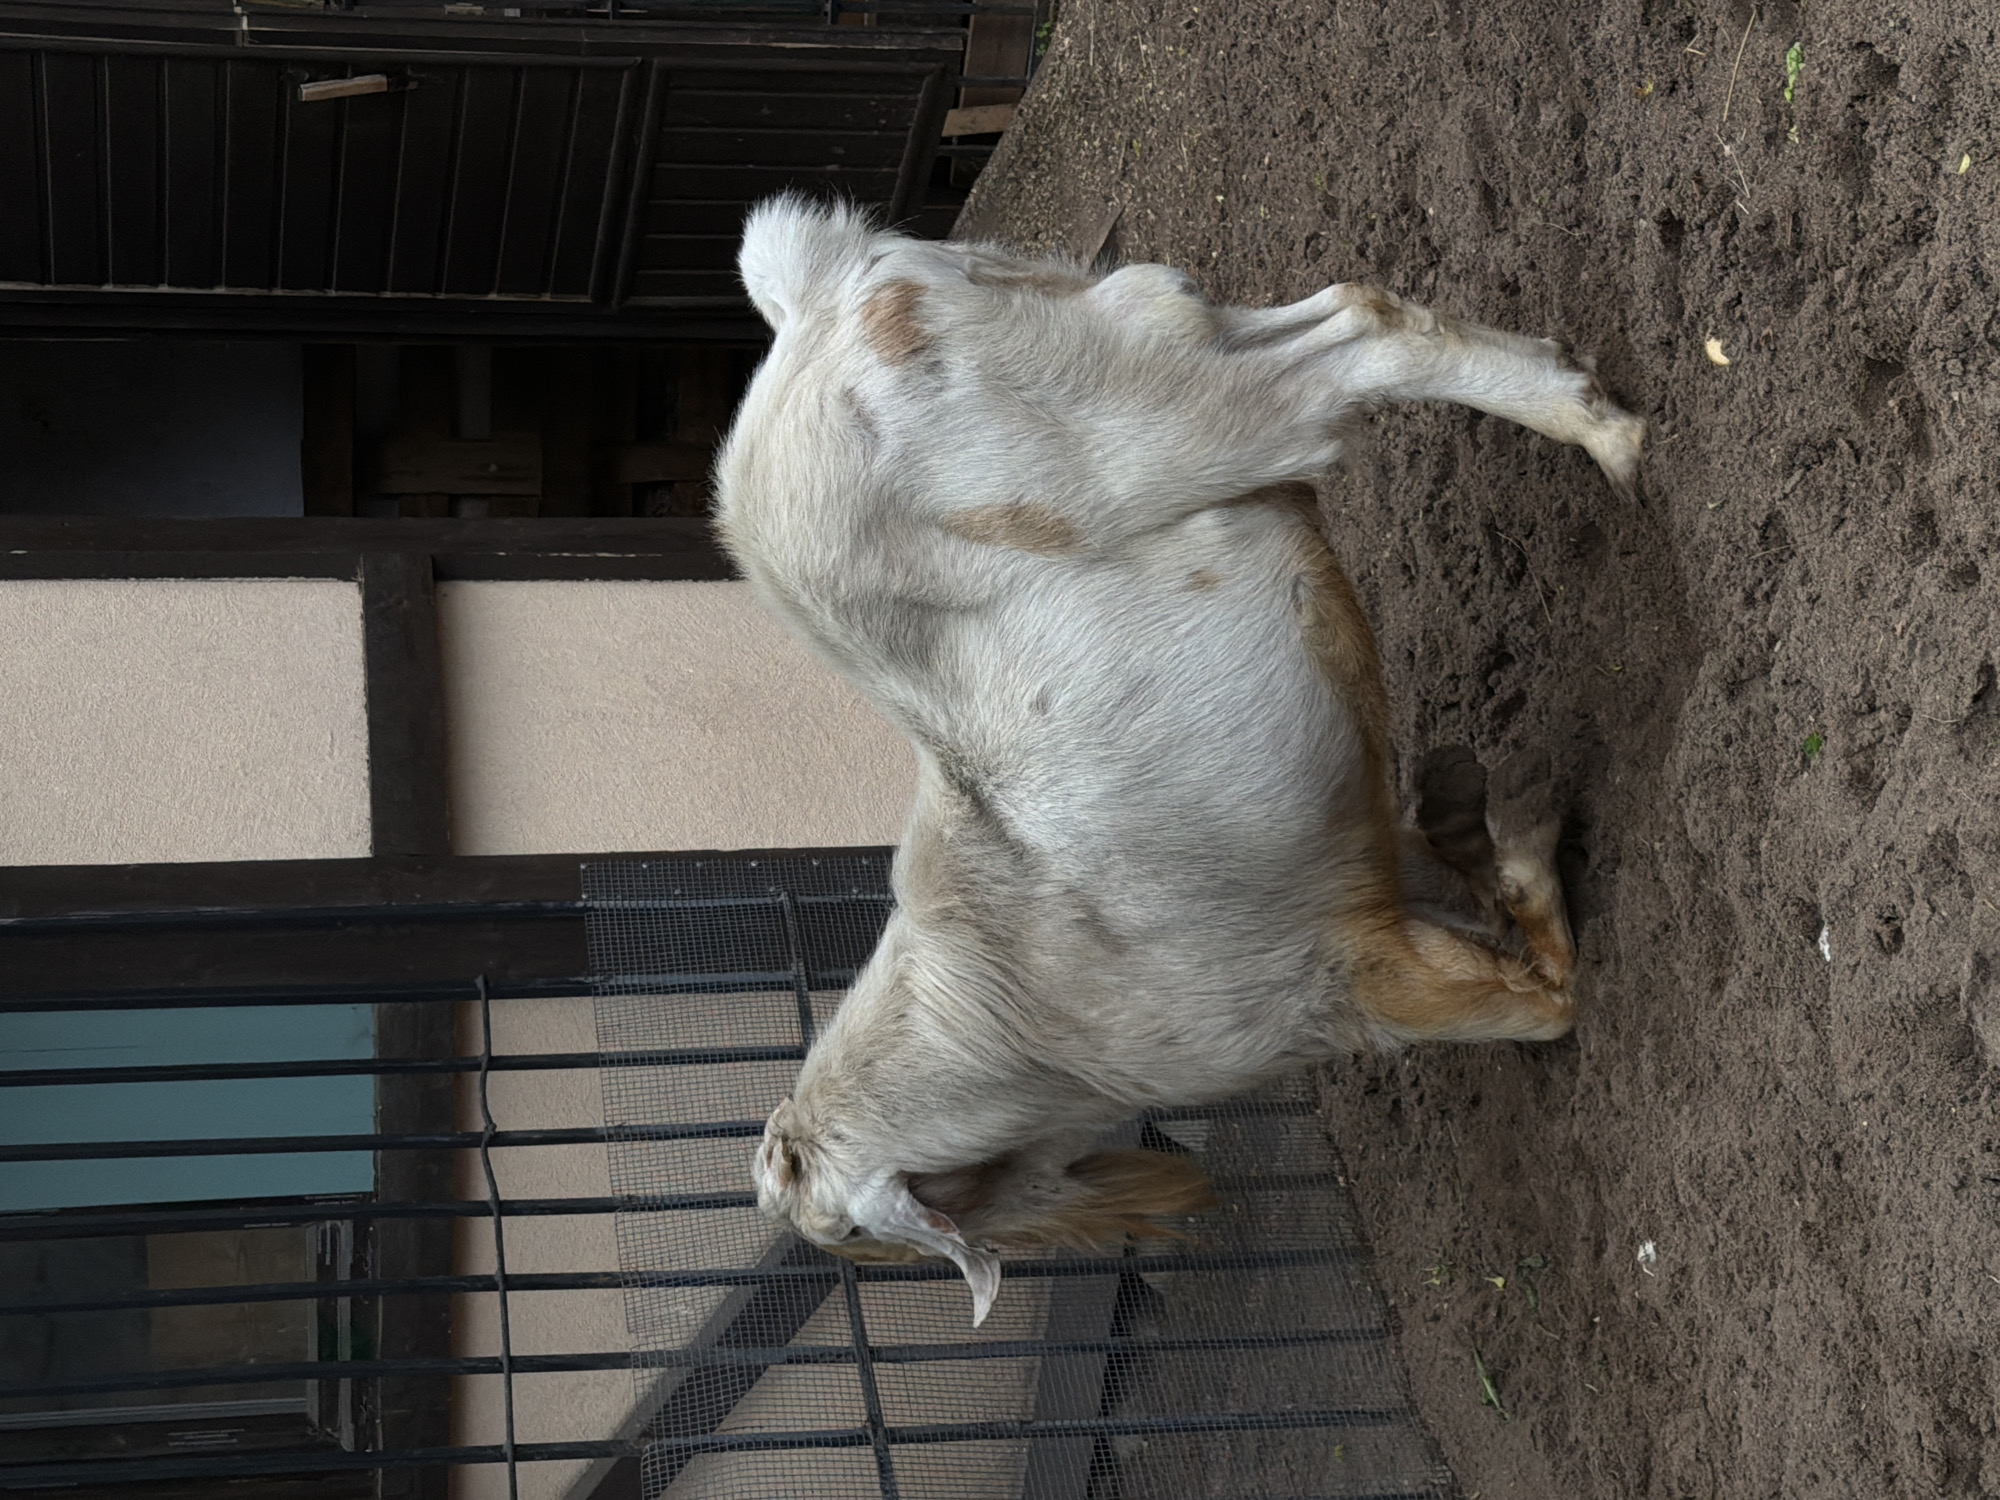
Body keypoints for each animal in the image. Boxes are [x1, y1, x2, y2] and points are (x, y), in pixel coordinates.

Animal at [719, 195, 1643, 1325]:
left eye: (853, 1232)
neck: (1006, 1011)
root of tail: (816, 293)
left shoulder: (1344, 987)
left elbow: (1548, 1006)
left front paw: (1523, 847)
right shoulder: (1366, 866)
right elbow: (1451, 870)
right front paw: (1476, 821)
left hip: (1171, 416)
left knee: (1365, 336)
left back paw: (1606, 434)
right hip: (1133, 332)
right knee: (1323, 309)